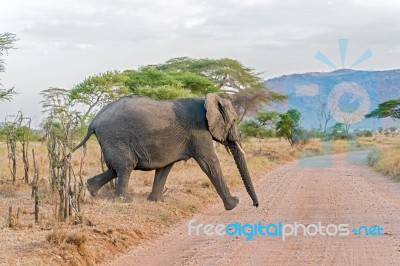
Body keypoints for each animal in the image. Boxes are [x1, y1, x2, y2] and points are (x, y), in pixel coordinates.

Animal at [71, 93, 260, 210]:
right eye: (234, 121)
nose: (255, 205)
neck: (206, 101)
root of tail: (93, 122)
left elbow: (165, 167)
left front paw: (156, 201)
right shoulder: (198, 132)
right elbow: (209, 163)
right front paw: (233, 204)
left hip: (112, 140)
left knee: (116, 168)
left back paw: (91, 190)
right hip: (116, 136)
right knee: (125, 167)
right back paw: (125, 201)